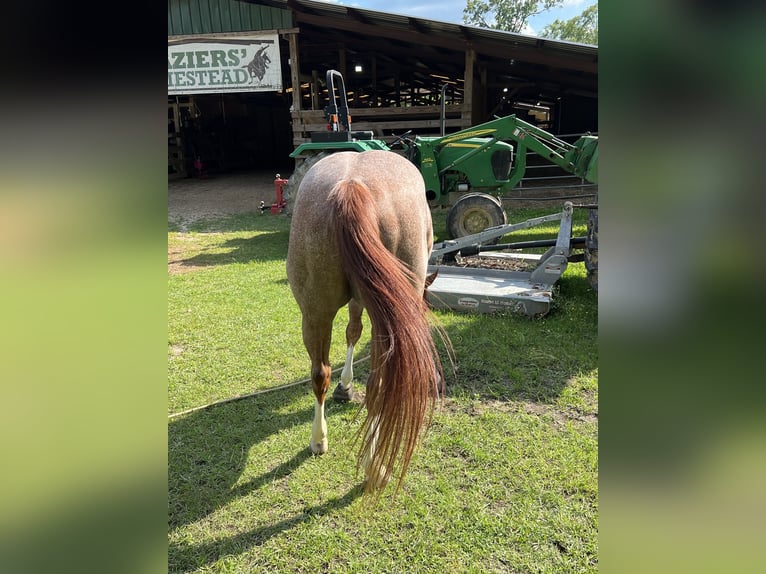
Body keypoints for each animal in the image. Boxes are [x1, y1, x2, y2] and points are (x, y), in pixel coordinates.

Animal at [286, 150, 444, 496]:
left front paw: (344, 385)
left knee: (319, 373)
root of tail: (351, 186)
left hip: (314, 310)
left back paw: (318, 440)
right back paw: (375, 467)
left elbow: (351, 332)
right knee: (378, 386)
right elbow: (355, 334)